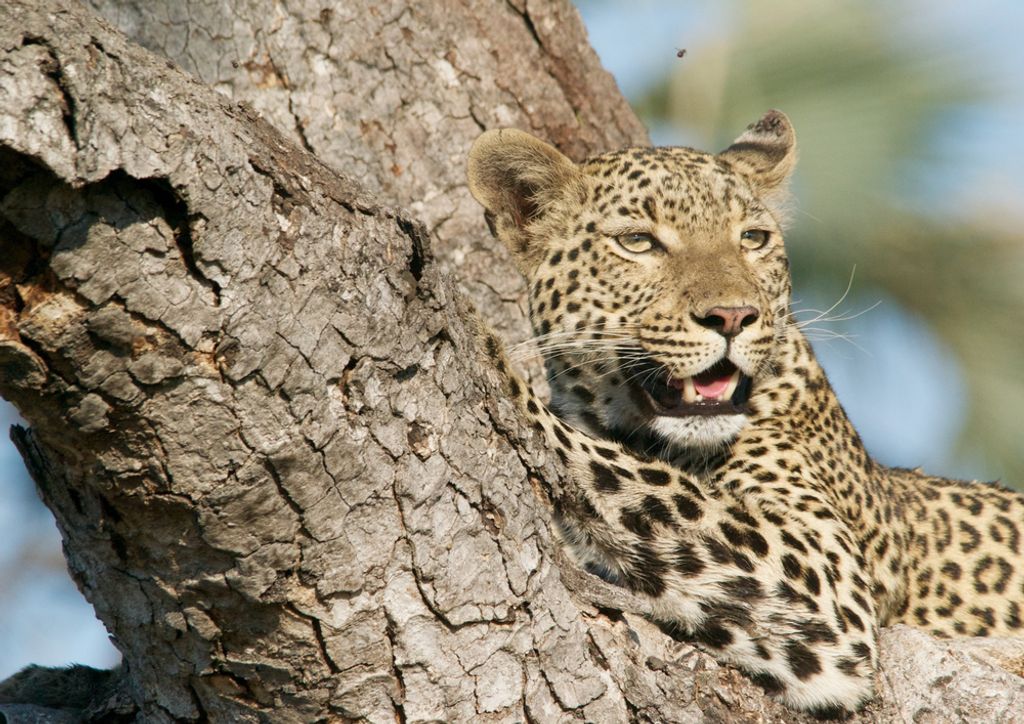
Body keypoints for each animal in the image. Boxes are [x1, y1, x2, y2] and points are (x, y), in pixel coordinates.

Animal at [466, 110, 1024, 715]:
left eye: (752, 239)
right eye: (638, 242)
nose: (733, 316)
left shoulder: (824, 581)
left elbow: (620, 468)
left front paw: (476, 335)